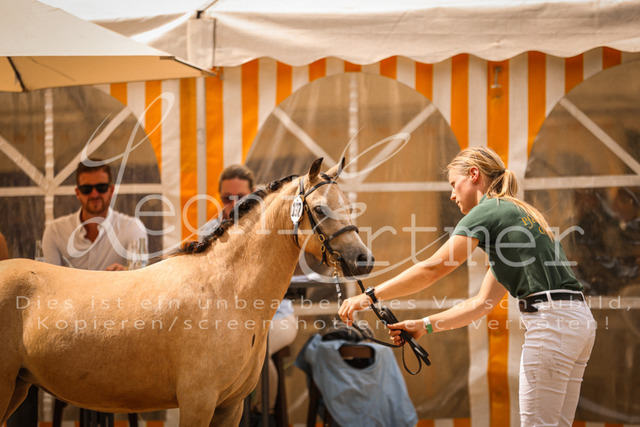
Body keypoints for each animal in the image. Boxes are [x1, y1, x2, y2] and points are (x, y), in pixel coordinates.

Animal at [0, 158, 374, 426]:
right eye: (321, 209)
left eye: (349, 206)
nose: (363, 260)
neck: (226, 293)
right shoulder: (197, 403)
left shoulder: (230, 407)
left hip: (17, 386)